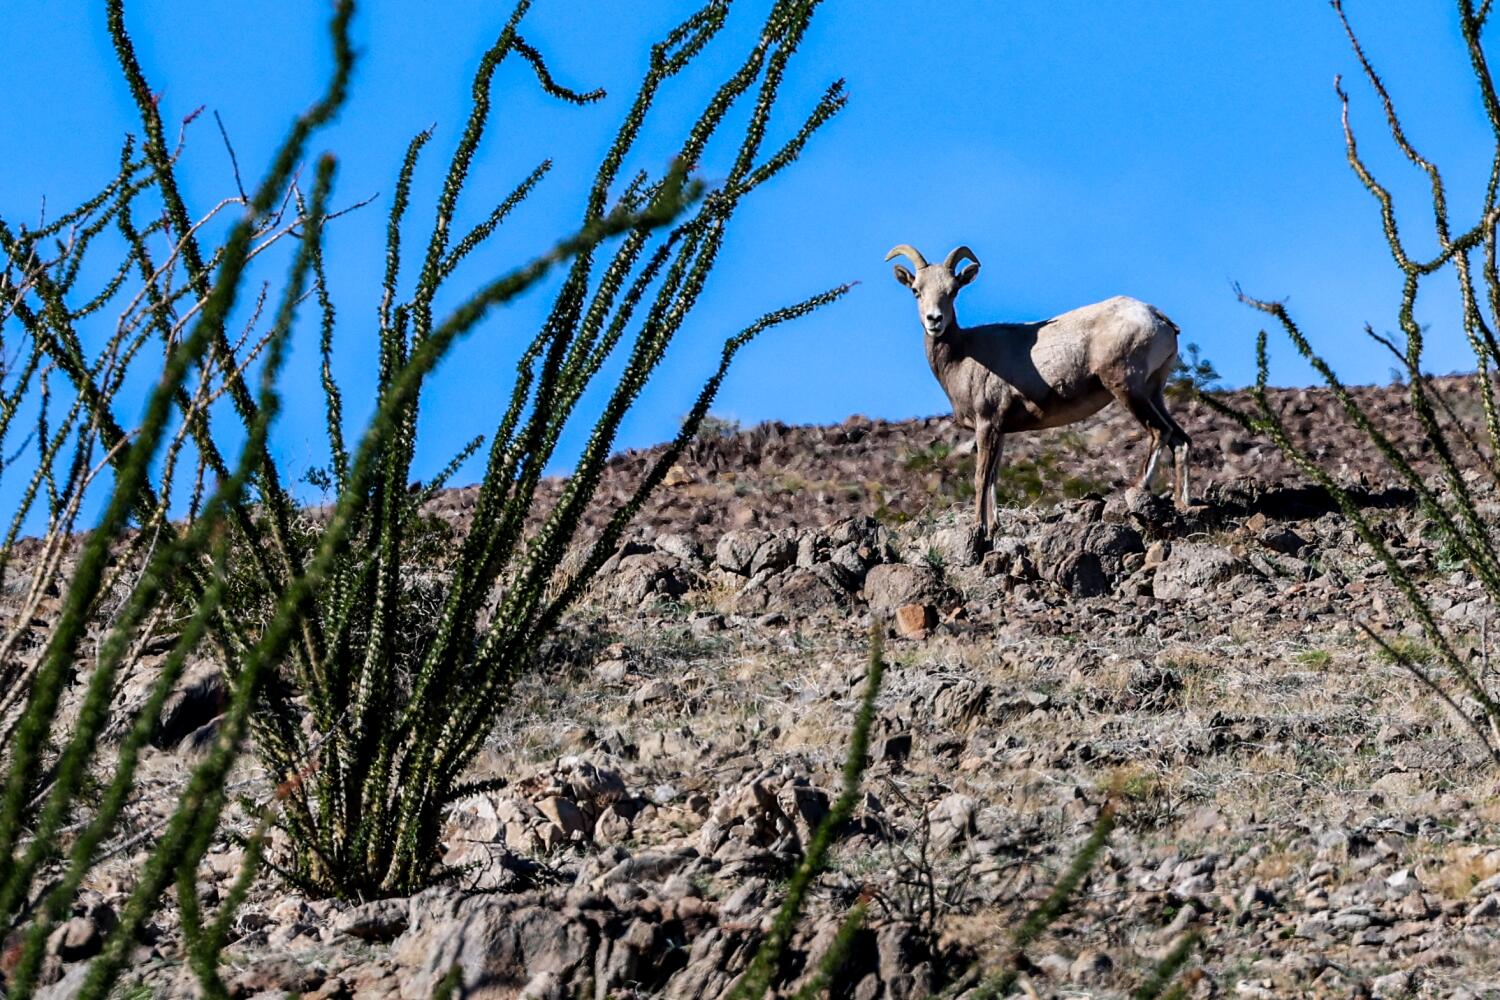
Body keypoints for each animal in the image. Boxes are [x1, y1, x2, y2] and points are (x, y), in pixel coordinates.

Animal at [886, 243, 1191, 536]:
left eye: (952, 291)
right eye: (916, 291)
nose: (934, 320)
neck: (963, 356)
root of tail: (1157, 317)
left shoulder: (987, 424)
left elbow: (981, 477)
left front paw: (979, 528)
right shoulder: (1000, 430)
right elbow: (994, 476)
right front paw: (994, 527)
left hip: (1128, 389)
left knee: (1159, 432)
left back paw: (1139, 488)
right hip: (1153, 393)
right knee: (1181, 440)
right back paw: (1183, 504)